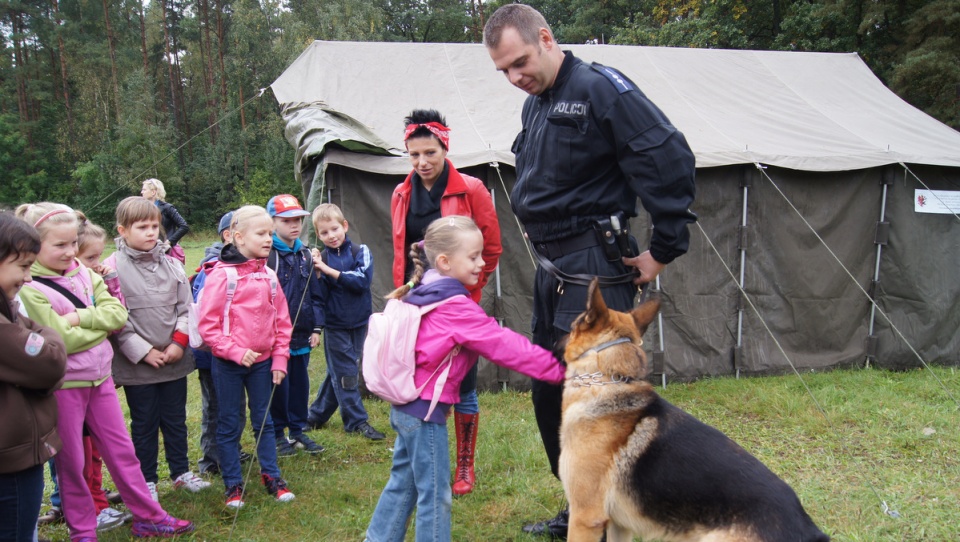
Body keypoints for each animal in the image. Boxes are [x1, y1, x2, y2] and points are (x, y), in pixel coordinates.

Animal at [560, 280, 828, 542]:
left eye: (573, 325)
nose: (555, 340)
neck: (609, 379)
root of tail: (809, 531)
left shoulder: (584, 518)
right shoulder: (619, 525)